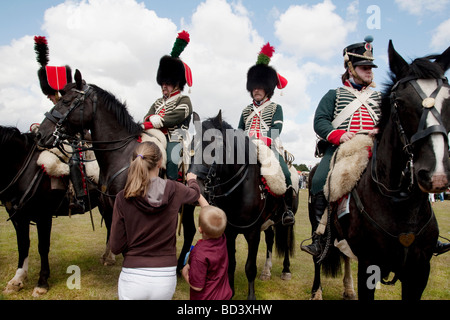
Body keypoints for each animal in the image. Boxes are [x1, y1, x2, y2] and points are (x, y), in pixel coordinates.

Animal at [0, 124, 98, 296]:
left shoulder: (43, 216)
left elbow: (43, 247)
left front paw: (42, 282)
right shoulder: (18, 217)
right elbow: (23, 244)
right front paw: (17, 279)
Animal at [189, 110, 298, 300]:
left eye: (217, 145)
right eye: (191, 145)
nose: (196, 190)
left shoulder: (253, 233)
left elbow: (250, 267)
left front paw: (251, 297)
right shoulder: (229, 232)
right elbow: (231, 263)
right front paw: (230, 292)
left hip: (286, 221)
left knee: (285, 241)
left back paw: (286, 270)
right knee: (270, 239)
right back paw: (266, 271)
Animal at [310, 42, 450, 300]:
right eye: (399, 102)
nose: (435, 176)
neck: (400, 204)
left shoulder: (419, 272)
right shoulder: (369, 265)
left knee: (345, 255)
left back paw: (348, 289)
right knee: (318, 256)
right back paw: (317, 292)